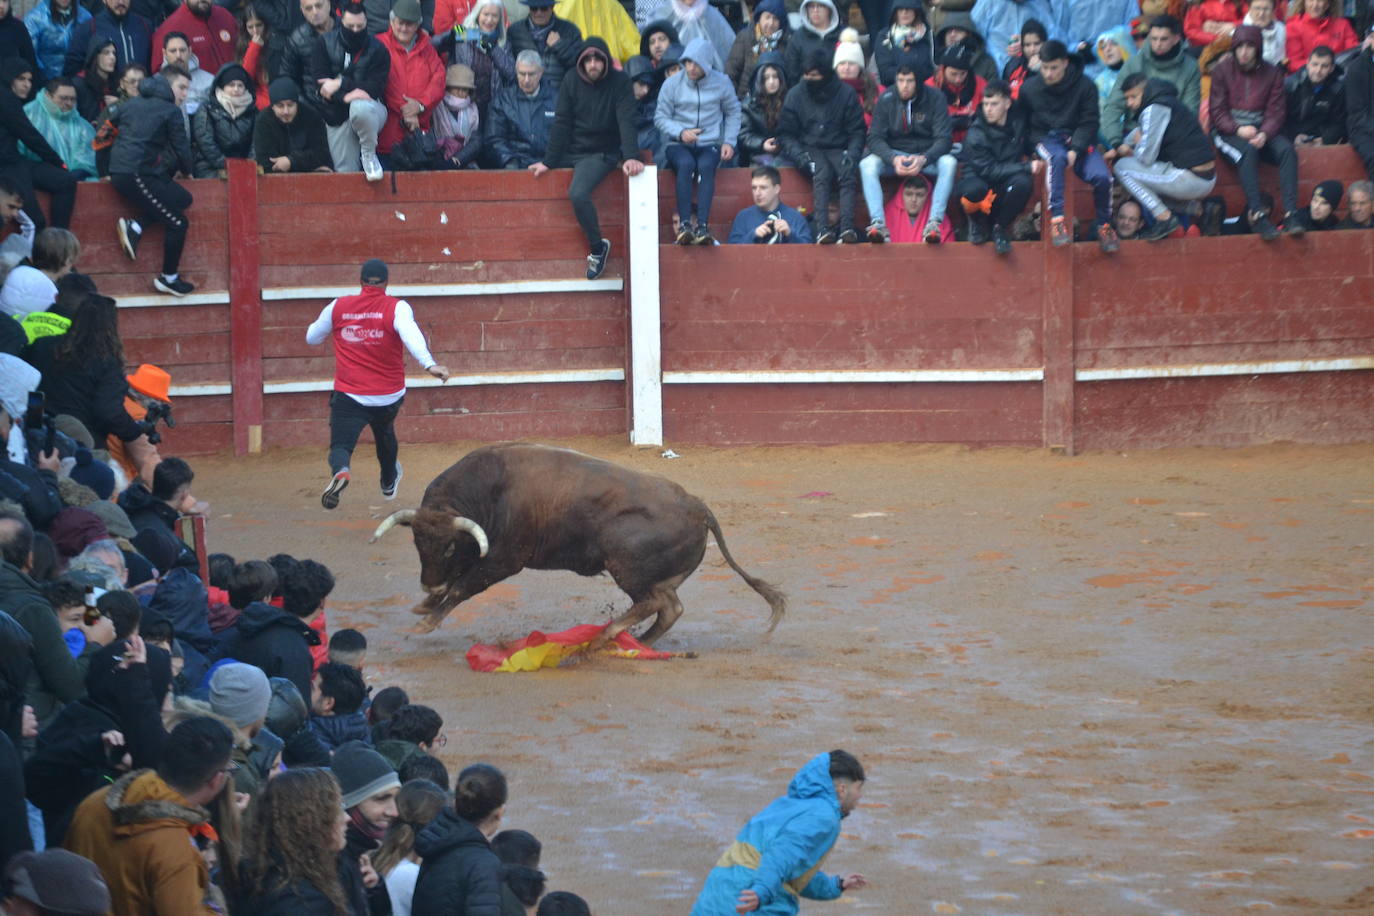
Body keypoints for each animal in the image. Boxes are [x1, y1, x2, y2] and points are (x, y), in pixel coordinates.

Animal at [370, 444, 791, 645]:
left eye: (449, 547)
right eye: (416, 542)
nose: (429, 584)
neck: (486, 493)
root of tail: (698, 506)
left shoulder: (504, 560)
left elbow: (462, 588)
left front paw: (425, 622)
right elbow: (458, 584)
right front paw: (425, 606)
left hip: (624, 565)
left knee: (654, 603)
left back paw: (604, 637)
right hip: (660, 576)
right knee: (670, 608)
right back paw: (629, 641)